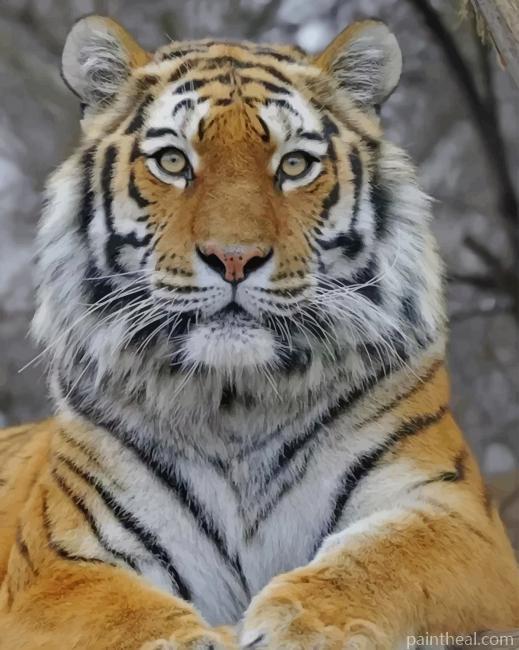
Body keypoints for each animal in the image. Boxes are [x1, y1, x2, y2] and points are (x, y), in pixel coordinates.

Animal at [0, 13, 517, 650]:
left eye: (294, 165)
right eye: (173, 162)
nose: (234, 258)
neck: (236, 400)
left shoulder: (453, 511)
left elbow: (381, 562)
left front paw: (302, 627)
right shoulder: (58, 564)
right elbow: (128, 617)